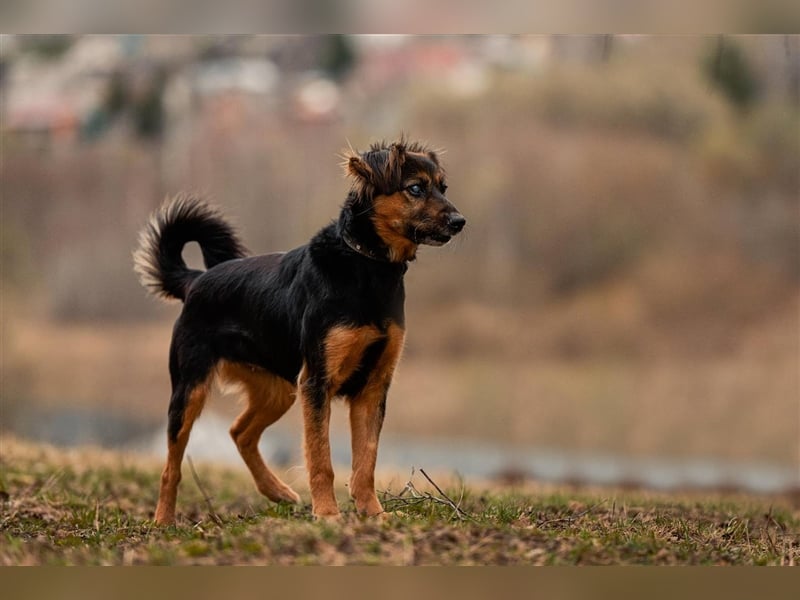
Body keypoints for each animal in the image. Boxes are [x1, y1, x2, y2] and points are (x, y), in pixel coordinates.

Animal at [134, 138, 466, 524]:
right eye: (415, 188)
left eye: (443, 187)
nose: (460, 222)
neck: (368, 265)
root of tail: (196, 280)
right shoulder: (316, 382)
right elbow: (321, 458)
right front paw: (327, 514)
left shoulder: (372, 388)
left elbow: (366, 460)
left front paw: (373, 513)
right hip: (190, 391)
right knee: (171, 465)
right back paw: (163, 519)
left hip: (279, 390)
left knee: (240, 432)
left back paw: (276, 491)